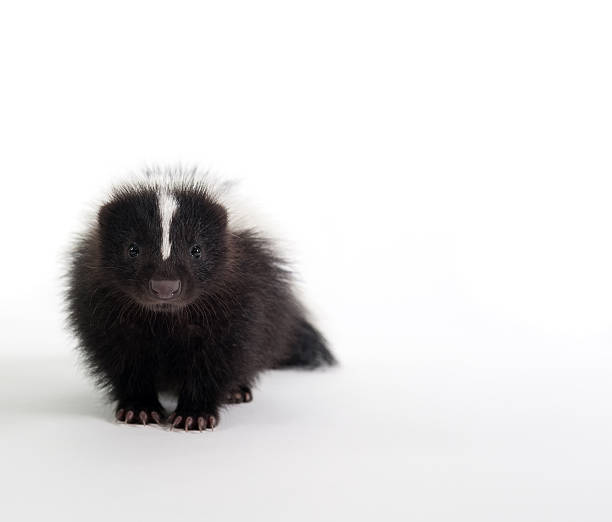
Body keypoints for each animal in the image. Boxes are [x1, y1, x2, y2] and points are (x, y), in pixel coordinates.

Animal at [65, 172, 334, 430]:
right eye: (133, 249)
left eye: (196, 250)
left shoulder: (238, 300)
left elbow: (217, 359)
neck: (166, 317)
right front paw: (139, 408)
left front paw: (194, 415)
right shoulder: (103, 305)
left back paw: (237, 391)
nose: (165, 286)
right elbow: (124, 358)